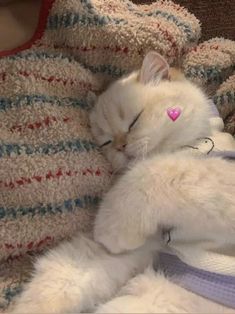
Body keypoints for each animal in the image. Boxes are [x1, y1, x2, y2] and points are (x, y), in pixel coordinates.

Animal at [11, 51, 235, 312]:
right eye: (106, 142)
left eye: (134, 121)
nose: (120, 146)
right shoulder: (152, 243)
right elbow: (67, 274)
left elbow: (153, 172)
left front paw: (108, 231)